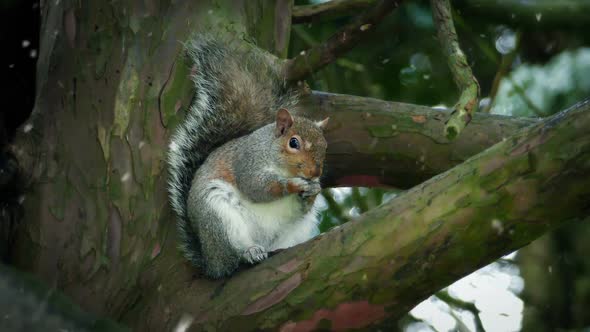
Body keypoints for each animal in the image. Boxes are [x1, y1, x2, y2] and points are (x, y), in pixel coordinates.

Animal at [169, 35, 330, 280]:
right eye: (293, 143)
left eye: (325, 145)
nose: (315, 172)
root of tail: (211, 261)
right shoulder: (246, 162)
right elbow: (256, 187)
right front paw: (293, 184)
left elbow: (303, 204)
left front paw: (314, 188)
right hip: (218, 216)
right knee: (232, 259)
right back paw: (249, 252)